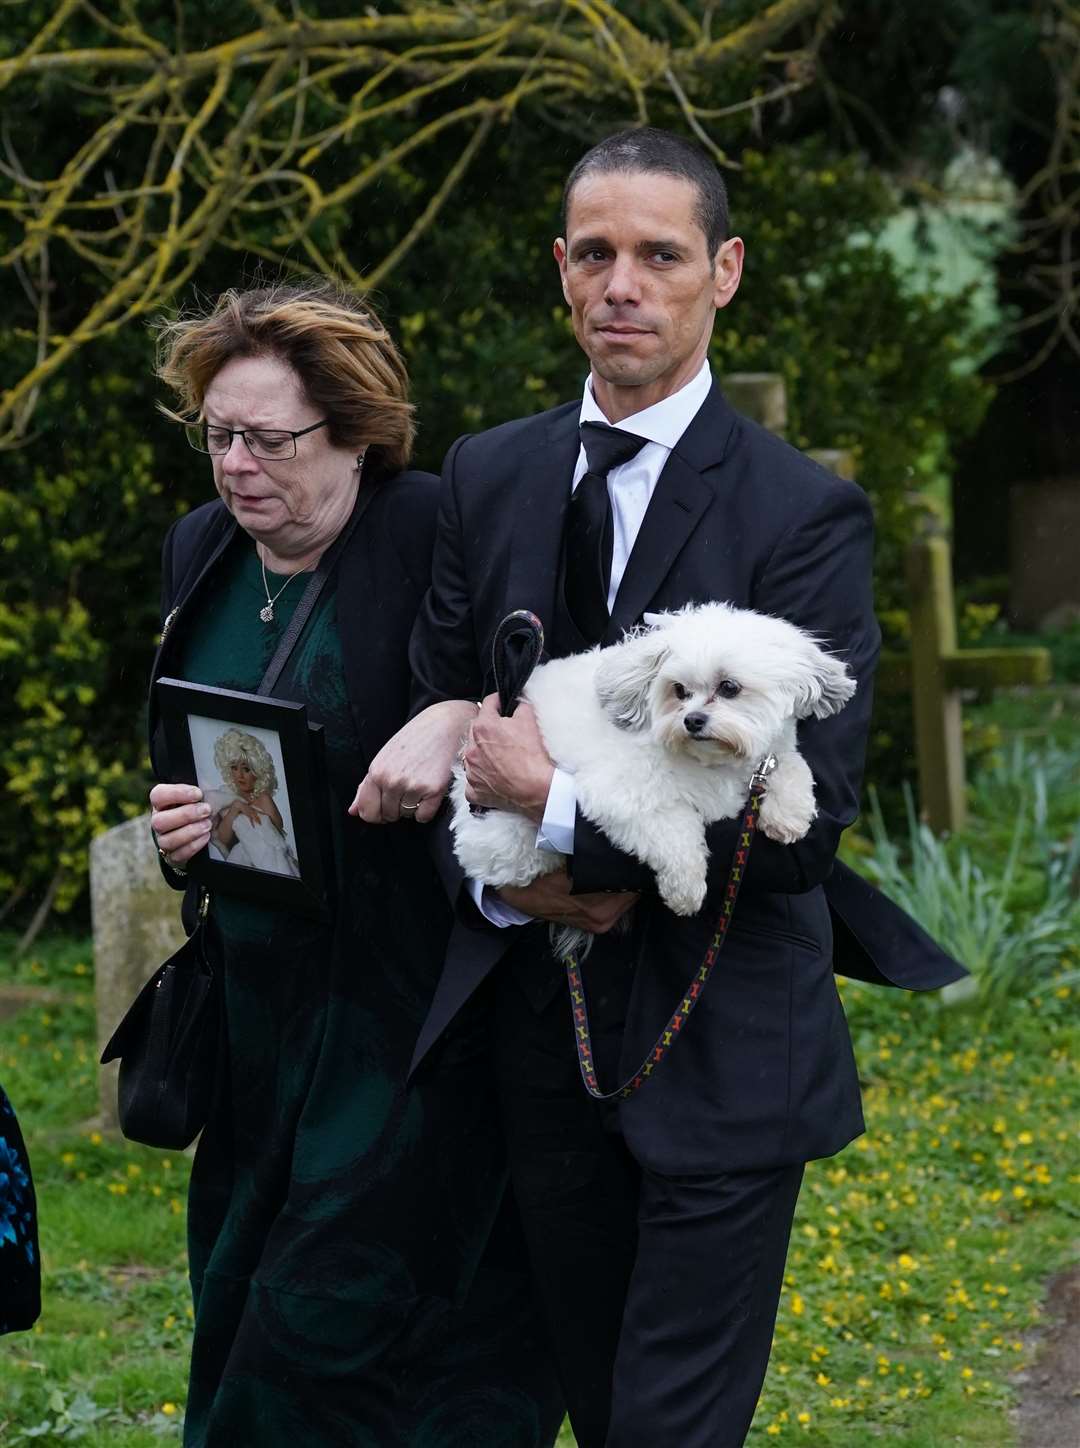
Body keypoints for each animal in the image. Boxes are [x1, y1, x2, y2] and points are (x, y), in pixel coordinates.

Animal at [448, 599, 851, 938]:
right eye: (678, 689)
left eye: (729, 687)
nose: (693, 720)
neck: (714, 764)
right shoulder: (620, 795)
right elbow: (677, 830)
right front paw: (686, 889)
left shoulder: (773, 753)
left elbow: (794, 765)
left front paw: (788, 814)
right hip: (508, 840)